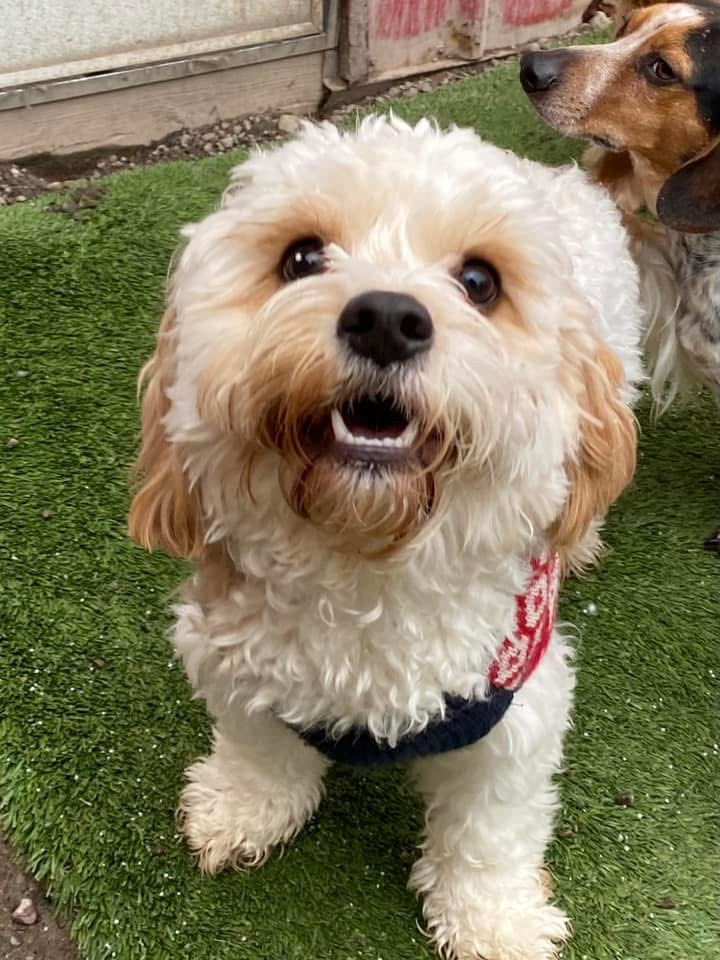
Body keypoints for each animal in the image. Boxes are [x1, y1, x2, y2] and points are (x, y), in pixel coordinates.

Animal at [128, 116, 642, 960]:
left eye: (480, 282)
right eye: (301, 258)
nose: (386, 320)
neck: (366, 566)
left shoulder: (517, 709)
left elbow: (491, 830)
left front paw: (495, 922)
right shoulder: (230, 647)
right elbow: (257, 746)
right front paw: (243, 809)